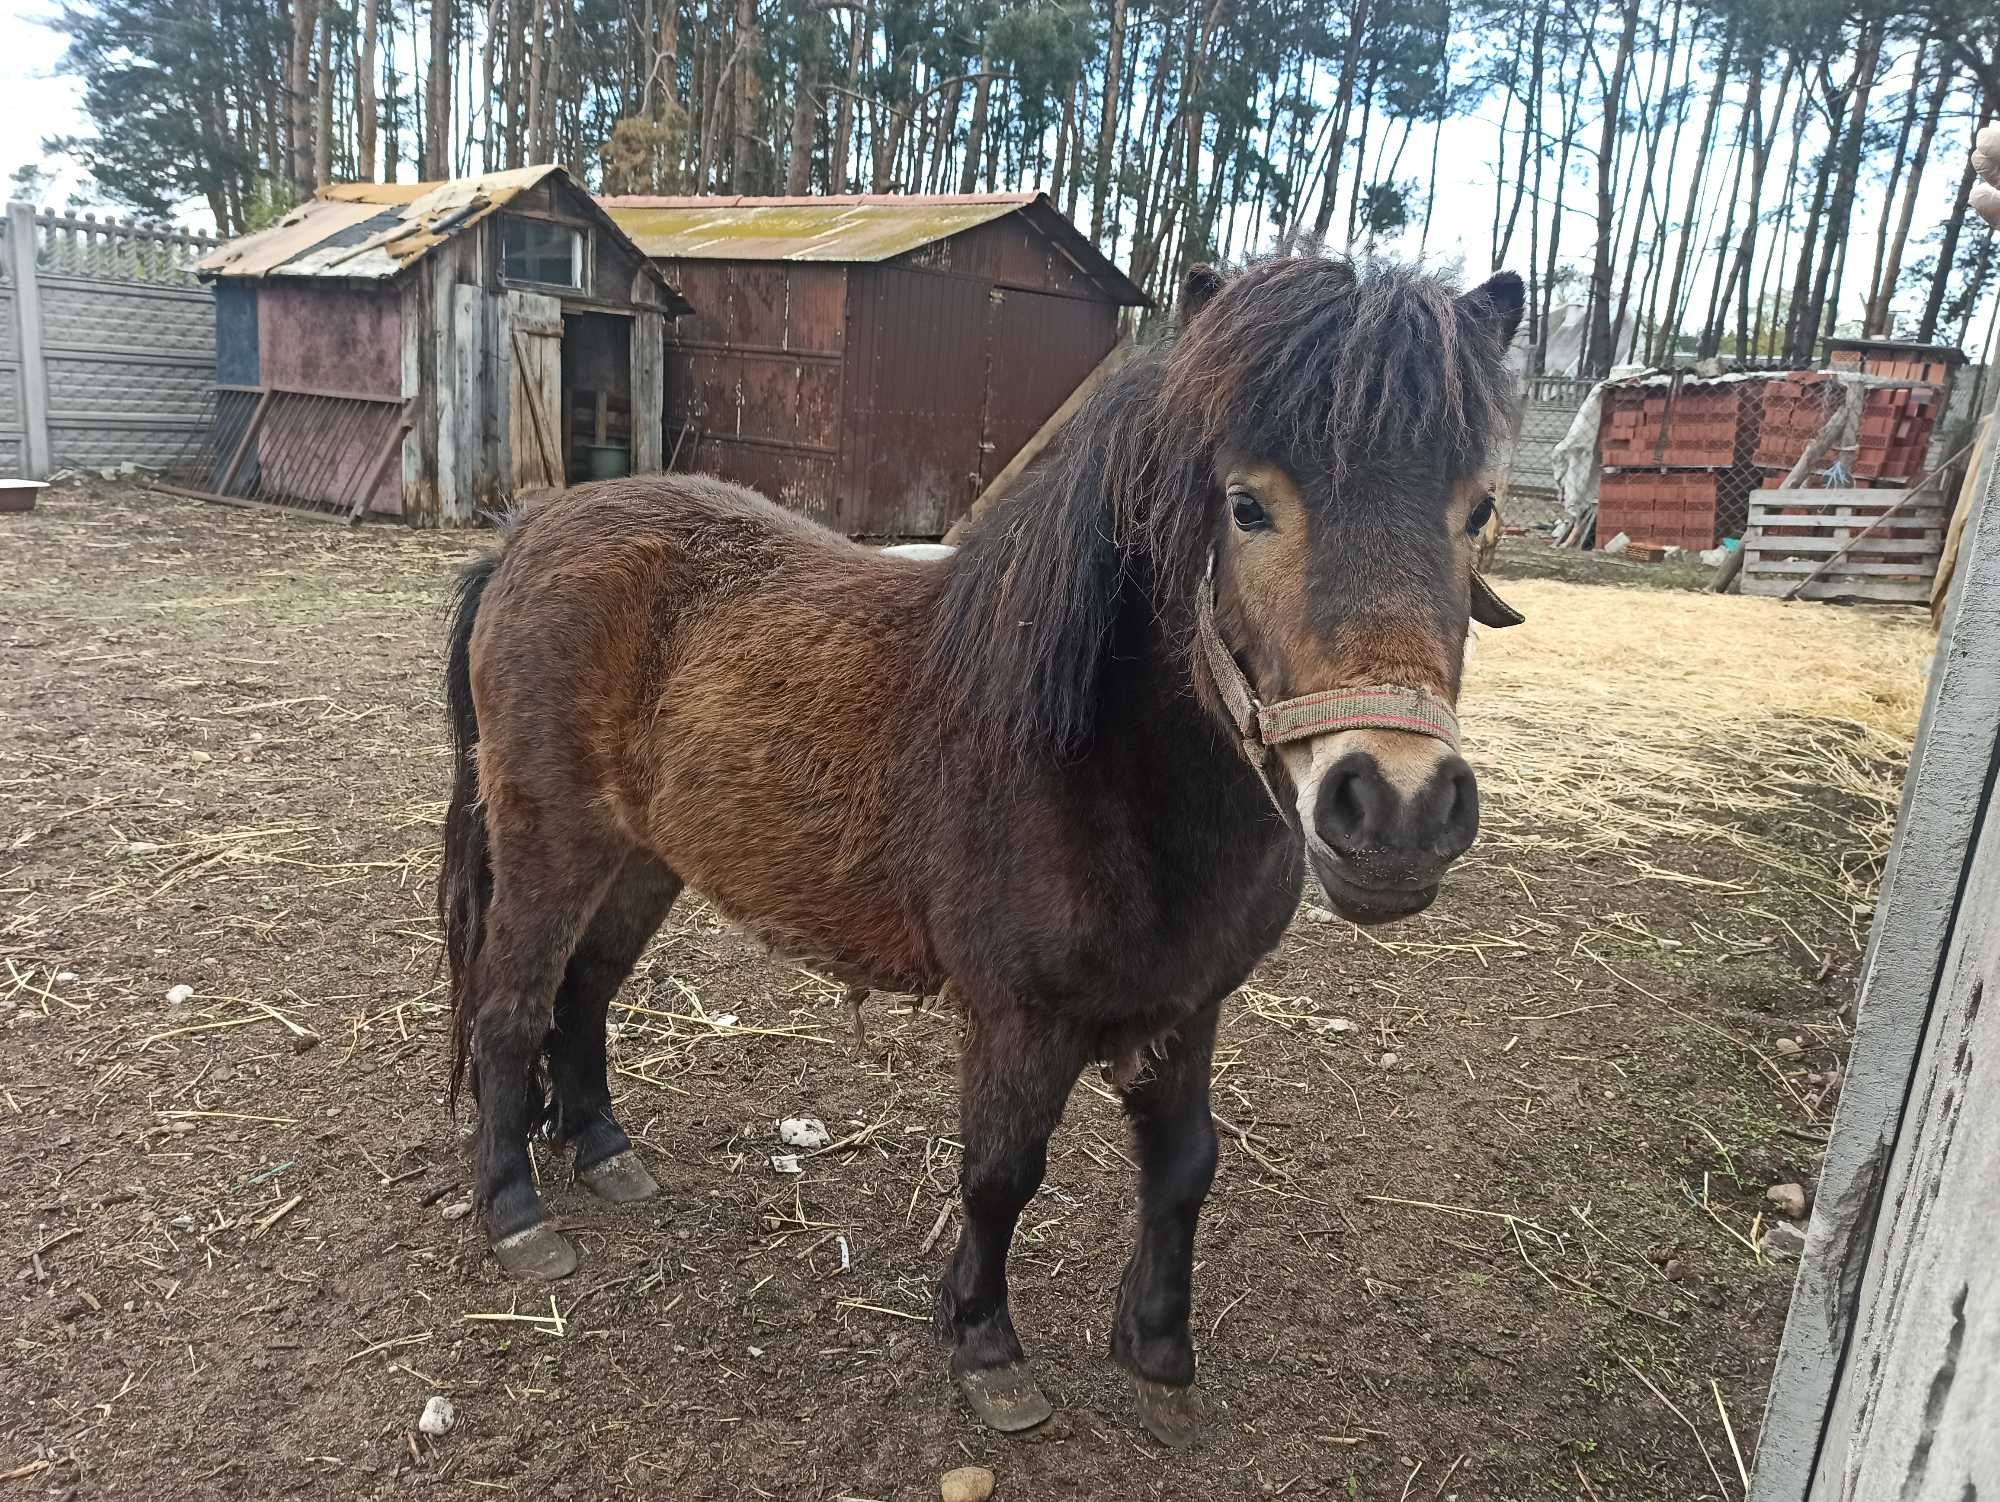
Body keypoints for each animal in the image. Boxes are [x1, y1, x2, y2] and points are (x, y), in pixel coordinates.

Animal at [442, 256, 1512, 1448]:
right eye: (1246, 506)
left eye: (1478, 510)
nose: (1399, 807)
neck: (1095, 759)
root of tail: (527, 534)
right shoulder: (1016, 1018)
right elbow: (1003, 1173)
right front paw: (985, 1344)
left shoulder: (1189, 1004)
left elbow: (1185, 1166)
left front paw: (1156, 1348)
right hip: (550, 842)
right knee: (509, 1009)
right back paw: (514, 1210)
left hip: (642, 860)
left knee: (582, 993)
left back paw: (604, 1152)